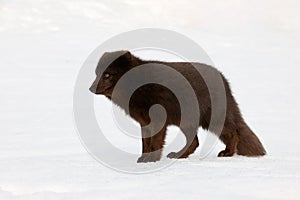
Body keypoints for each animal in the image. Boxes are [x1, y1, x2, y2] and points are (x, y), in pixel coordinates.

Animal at [88, 50, 264, 162]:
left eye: (107, 74)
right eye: (97, 73)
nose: (90, 88)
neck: (139, 84)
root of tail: (223, 79)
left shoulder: (158, 121)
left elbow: (155, 143)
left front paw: (151, 161)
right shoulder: (144, 122)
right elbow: (145, 144)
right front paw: (143, 159)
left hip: (210, 120)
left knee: (233, 133)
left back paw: (227, 153)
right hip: (186, 122)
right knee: (195, 142)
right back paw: (179, 156)